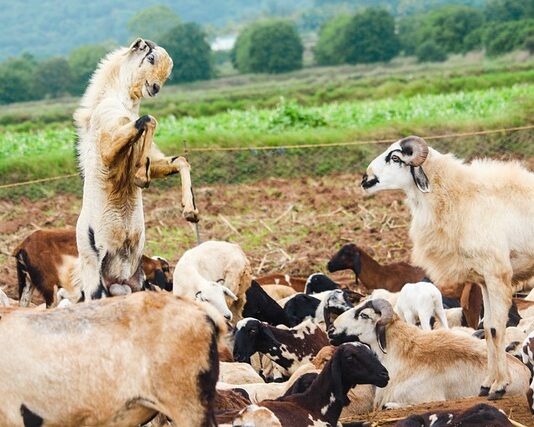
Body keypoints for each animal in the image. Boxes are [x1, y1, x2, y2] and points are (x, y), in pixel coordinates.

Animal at [75, 38, 199, 302]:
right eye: (150, 58)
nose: (155, 87)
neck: (117, 100)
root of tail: (117, 280)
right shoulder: (109, 151)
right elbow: (148, 120)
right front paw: (141, 176)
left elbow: (180, 161)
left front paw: (191, 211)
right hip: (96, 287)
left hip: (136, 284)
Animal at [360, 137, 534, 402]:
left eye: (396, 158)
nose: (365, 179)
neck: (458, 196)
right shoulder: (484, 280)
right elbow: (487, 327)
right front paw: (486, 385)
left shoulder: (496, 274)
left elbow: (496, 329)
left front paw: (500, 386)